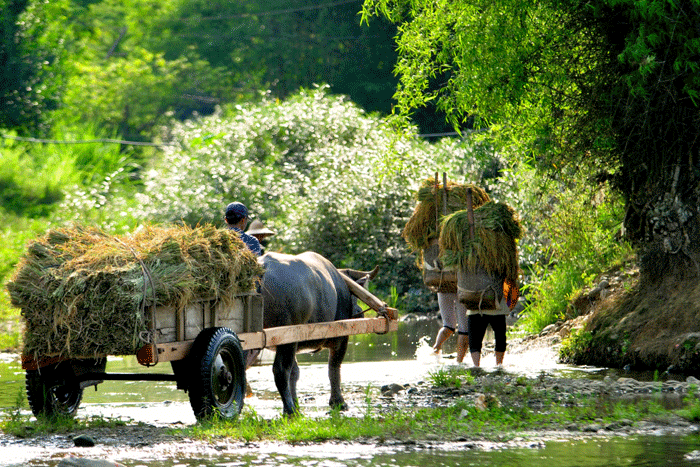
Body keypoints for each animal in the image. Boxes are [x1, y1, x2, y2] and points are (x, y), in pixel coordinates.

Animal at [258, 252, 378, 416]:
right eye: (355, 296)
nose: (360, 312)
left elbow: (295, 373)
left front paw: (296, 402)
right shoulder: (340, 339)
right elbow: (334, 368)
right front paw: (338, 402)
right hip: (287, 340)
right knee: (281, 370)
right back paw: (290, 410)